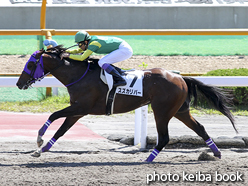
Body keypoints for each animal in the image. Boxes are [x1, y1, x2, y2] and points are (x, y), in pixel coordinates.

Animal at [16, 46, 237, 161]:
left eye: (30, 64)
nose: (18, 84)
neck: (79, 75)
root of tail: (180, 78)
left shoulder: (81, 107)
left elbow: (53, 115)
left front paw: (39, 139)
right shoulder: (77, 111)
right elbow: (61, 130)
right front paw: (41, 149)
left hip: (162, 110)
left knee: (164, 137)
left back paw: (148, 159)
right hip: (180, 110)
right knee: (200, 128)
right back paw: (216, 153)